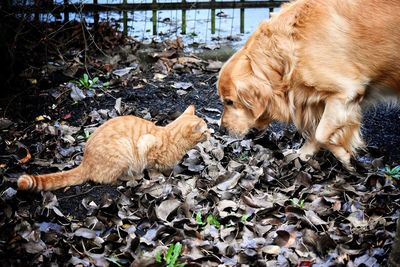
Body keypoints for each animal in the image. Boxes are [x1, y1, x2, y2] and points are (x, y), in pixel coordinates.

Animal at [17, 105, 209, 192]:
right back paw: (130, 178)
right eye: (205, 130)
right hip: (123, 153)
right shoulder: (146, 145)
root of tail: (86, 161)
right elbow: (153, 166)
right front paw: (160, 175)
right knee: (104, 179)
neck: (170, 138)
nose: (212, 132)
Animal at [217, 0, 400, 171]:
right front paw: (302, 154)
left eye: (230, 102)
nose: (221, 130)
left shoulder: (346, 94)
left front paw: (347, 158)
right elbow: (315, 132)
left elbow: (321, 134)